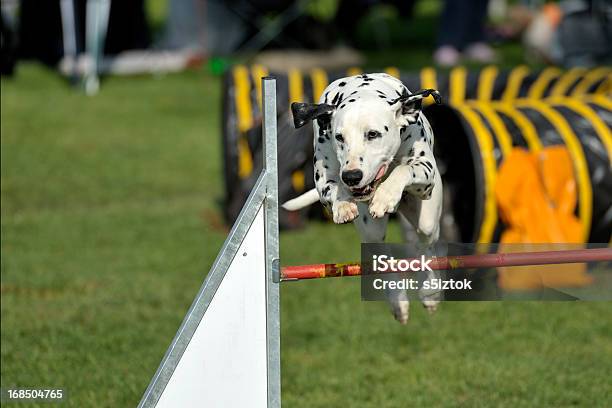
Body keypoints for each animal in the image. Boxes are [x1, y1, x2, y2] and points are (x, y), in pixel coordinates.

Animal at [282, 71, 444, 324]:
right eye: (339, 137)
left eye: (373, 134)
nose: (351, 176)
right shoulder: (323, 179)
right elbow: (333, 188)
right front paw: (343, 206)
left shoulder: (425, 173)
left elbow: (403, 169)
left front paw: (385, 196)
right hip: (371, 231)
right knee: (382, 254)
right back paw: (398, 301)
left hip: (427, 219)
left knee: (425, 244)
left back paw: (430, 292)